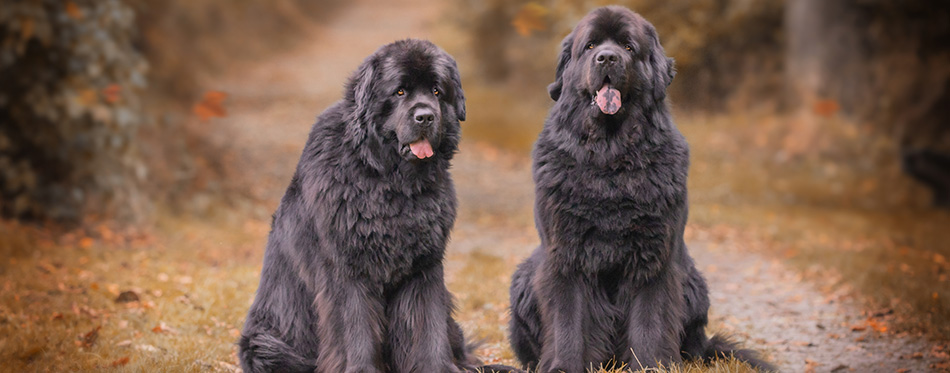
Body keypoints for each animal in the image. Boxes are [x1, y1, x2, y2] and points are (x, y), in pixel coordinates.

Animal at [238, 38, 520, 372]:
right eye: (399, 92)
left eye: (437, 91)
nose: (425, 116)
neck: (390, 181)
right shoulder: (347, 270)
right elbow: (356, 330)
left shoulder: (424, 268)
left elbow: (427, 327)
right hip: (265, 342)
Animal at [510, 6, 776, 372]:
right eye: (590, 46)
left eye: (628, 47)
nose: (607, 58)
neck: (610, 158)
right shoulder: (565, 253)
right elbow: (568, 319)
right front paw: (564, 364)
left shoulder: (654, 257)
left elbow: (650, 320)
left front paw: (650, 365)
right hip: (523, 277)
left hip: (693, 283)